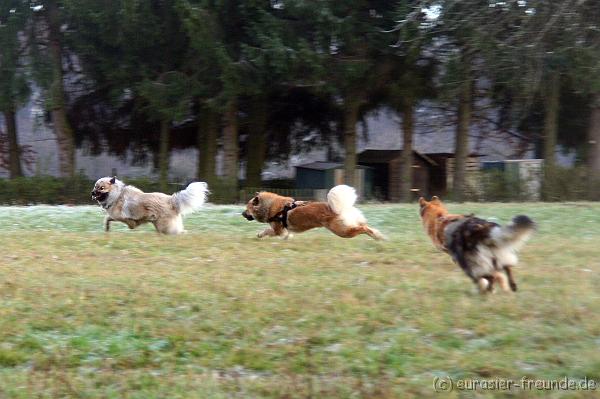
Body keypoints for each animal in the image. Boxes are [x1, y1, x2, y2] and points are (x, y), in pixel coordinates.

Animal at [243, 185, 386, 239]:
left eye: (247, 208)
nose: (242, 214)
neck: (268, 205)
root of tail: (337, 208)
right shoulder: (283, 230)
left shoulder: (278, 229)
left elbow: (268, 231)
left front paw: (260, 234)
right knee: (364, 225)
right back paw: (378, 234)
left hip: (341, 230)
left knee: (362, 228)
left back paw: (377, 236)